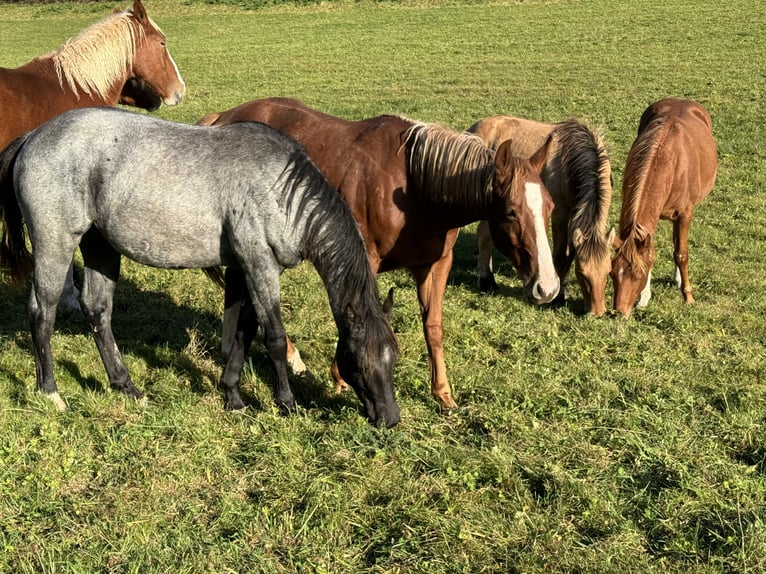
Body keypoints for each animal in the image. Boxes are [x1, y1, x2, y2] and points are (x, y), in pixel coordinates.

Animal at [0, 108, 404, 430]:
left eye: (393, 357)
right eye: (359, 361)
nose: (390, 418)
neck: (281, 188)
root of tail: (33, 137)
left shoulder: (244, 269)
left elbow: (243, 330)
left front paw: (233, 396)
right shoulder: (259, 264)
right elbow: (273, 337)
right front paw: (286, 403)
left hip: (101, 247)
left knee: (98, 311)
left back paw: (127, 386)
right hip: (55, 245)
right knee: (42, 312)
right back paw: (50, 393)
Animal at [196, 97, 560, 412]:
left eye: (550, 207)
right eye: (512, 212)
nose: (548, 286)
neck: (415, 186)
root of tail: (222, 117)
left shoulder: (436, 265)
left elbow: (433, 328)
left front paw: (442, 394)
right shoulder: (362, 259)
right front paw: (341, 377)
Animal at [464, 115, 616, 318]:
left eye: (608, 271)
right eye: (582, 274)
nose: (597, 312)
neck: (571, 157)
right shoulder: (560, 214)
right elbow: (560, 255)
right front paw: (559, 295)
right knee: (484, 234)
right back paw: (486, 280)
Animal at [612, 97, 720, 318]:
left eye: (637, 275)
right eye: (611, 273)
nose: (619, 312)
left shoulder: (684, 215)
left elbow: (681, 254)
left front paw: (688, 297)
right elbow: (652, 253)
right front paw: (644, 299)